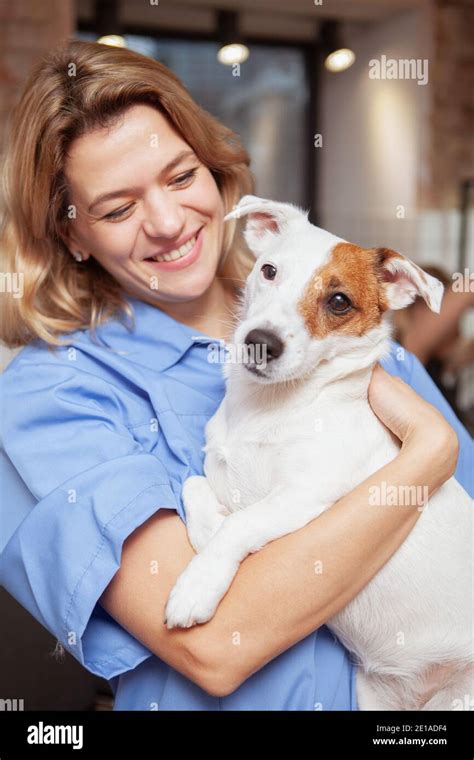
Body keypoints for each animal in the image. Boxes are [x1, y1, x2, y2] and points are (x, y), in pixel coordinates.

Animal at [165, 193, 472, 708]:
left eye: (339, 301)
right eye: (268, 270)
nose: (259, 343)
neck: (268, 408)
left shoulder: (307, 494)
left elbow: (241, 524)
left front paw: (198, 584)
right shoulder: (217, 470)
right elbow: (195, 487)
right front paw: (208, 537)